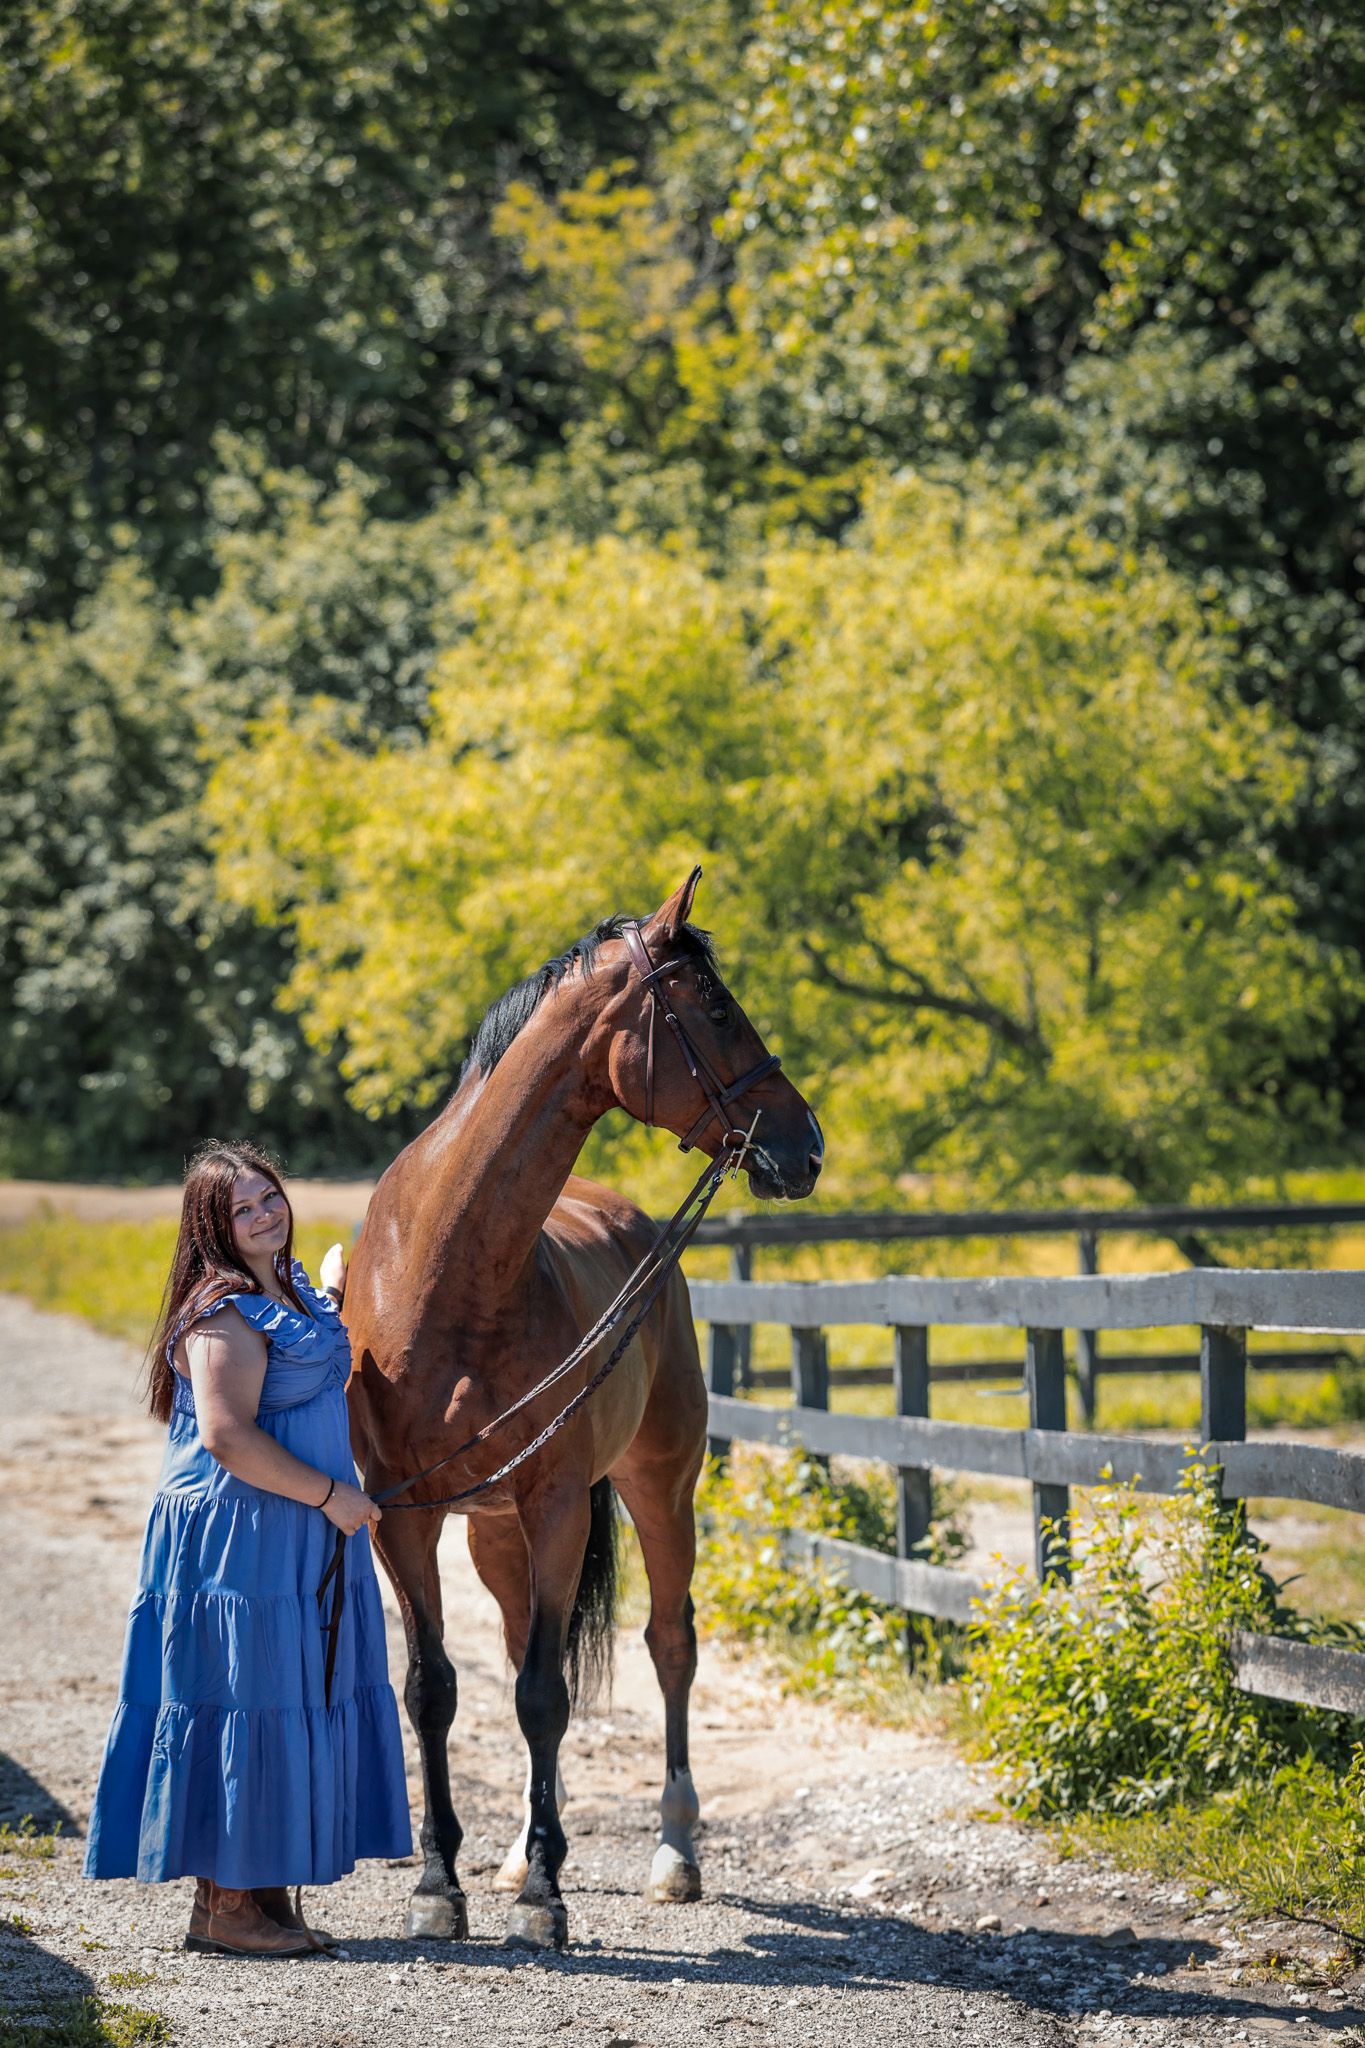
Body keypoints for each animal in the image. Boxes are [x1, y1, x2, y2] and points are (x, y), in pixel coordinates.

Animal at [342, 869, 823, 1950]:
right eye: (716, 1009)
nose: (806, 1146)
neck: (446, 1271)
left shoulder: (559, 1501)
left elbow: (544, 1693)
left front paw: (544, 1900)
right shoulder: (403, 1518)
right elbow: (433, 1688)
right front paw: (441, 1882)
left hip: (658, 1489)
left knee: (668, 1645)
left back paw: (673, 1851)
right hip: (495, 1533)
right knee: (524, 1637)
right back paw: (523, 1844)